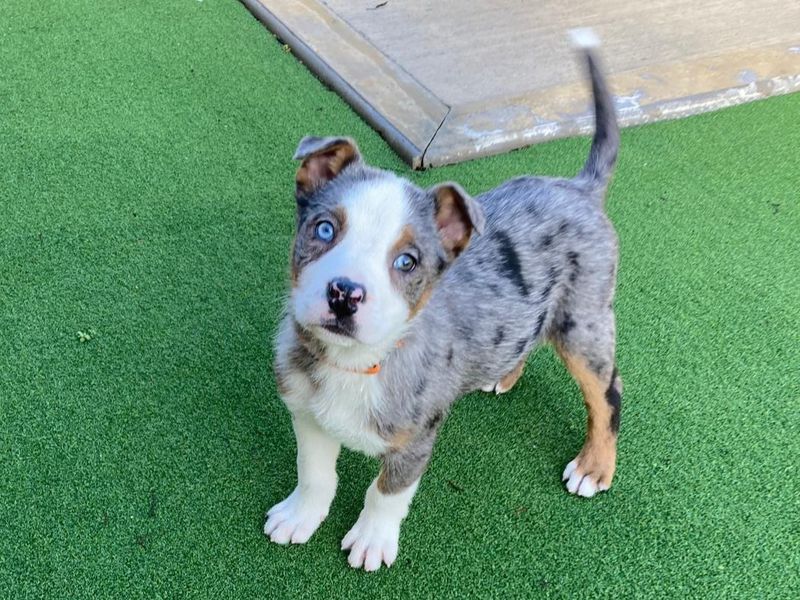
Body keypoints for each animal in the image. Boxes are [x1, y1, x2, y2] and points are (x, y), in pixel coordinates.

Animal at [266, 29, 620, 572]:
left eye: (407, 261)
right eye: (324, 229)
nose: (344, 293)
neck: (358, 363)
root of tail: (578, 188)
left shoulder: (417, 438)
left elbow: (386, 492)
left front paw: (372, 541)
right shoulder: (307, 412)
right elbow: (314, 473)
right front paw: (299, 516)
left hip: (584, 320)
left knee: (608, 394)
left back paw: (594, 467)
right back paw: (504, 375)